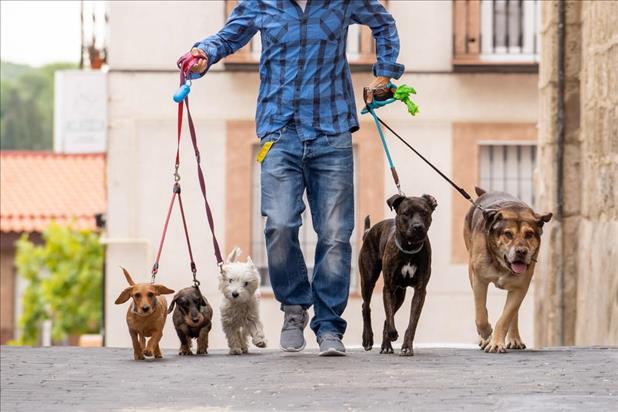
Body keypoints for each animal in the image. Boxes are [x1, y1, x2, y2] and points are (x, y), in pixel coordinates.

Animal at [358, 195, 436, 356]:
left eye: (424, 212)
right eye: (406, 213)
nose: (417, 226)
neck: (410, 248)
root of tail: (368, 232)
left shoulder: (420, 291)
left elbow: (412, 322)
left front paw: (406, 347)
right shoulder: (388, 288)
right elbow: (389, 316)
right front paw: (393, 334)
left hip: (400, 294)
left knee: (387, 318)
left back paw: (386, 346)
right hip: (368, 280)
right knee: (366, 307)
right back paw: (368, 339)